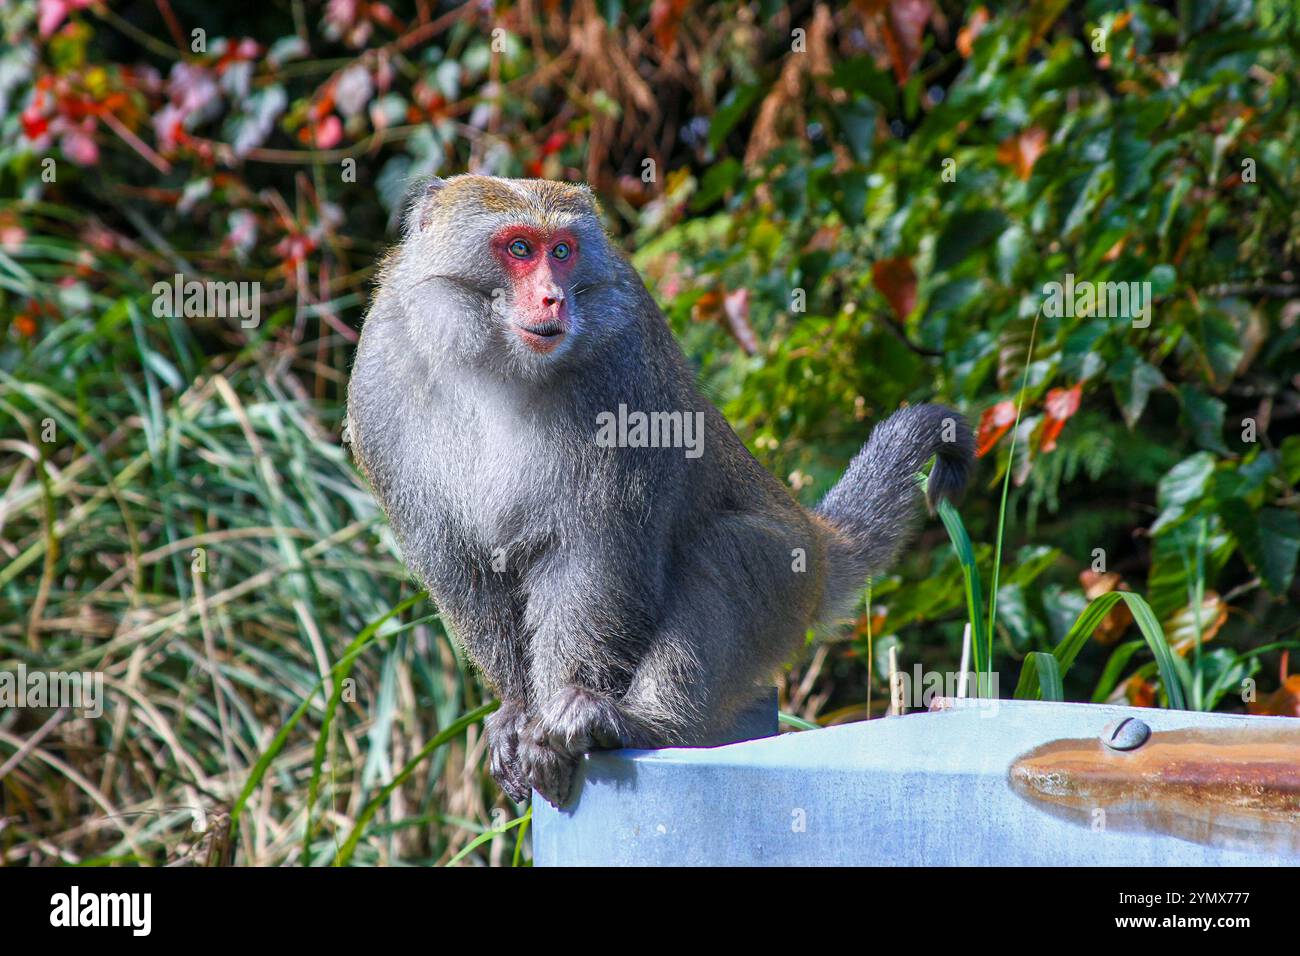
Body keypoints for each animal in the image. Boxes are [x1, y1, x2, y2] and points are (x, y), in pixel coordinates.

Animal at [348, 174, 977, 806]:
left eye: (562, 251)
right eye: (520, 248)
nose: (554, 298)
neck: (495, 366)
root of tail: (818, 547)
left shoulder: (624, 366)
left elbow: (596, 552)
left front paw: (555, 714)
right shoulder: (380, 377)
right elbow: (465, 567)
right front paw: (519, 710)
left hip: (787, 583)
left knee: (727, 549)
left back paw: (643, 723)